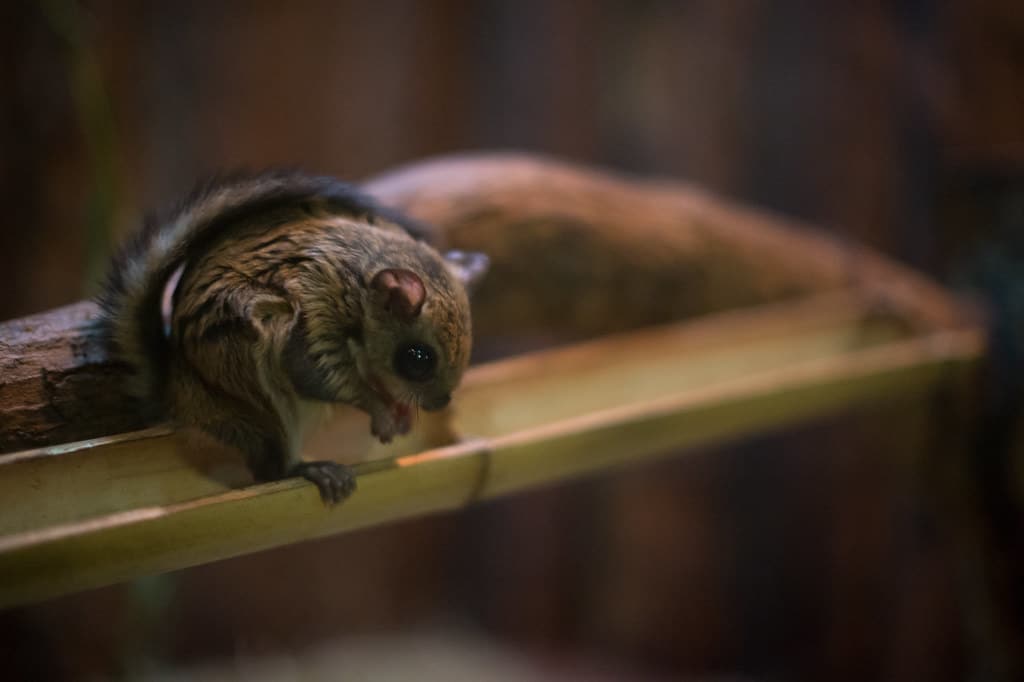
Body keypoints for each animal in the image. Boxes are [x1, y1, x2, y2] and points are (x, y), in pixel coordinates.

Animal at [97, 169, 489, 503]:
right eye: (417, 359)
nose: (440, 403)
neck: (357, 287)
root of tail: (176, 398)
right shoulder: (313, 320)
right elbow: (320, 377)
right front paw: (380, 411)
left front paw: (400, 413)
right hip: (253, 394)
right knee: (269, 469)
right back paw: (310, 469)